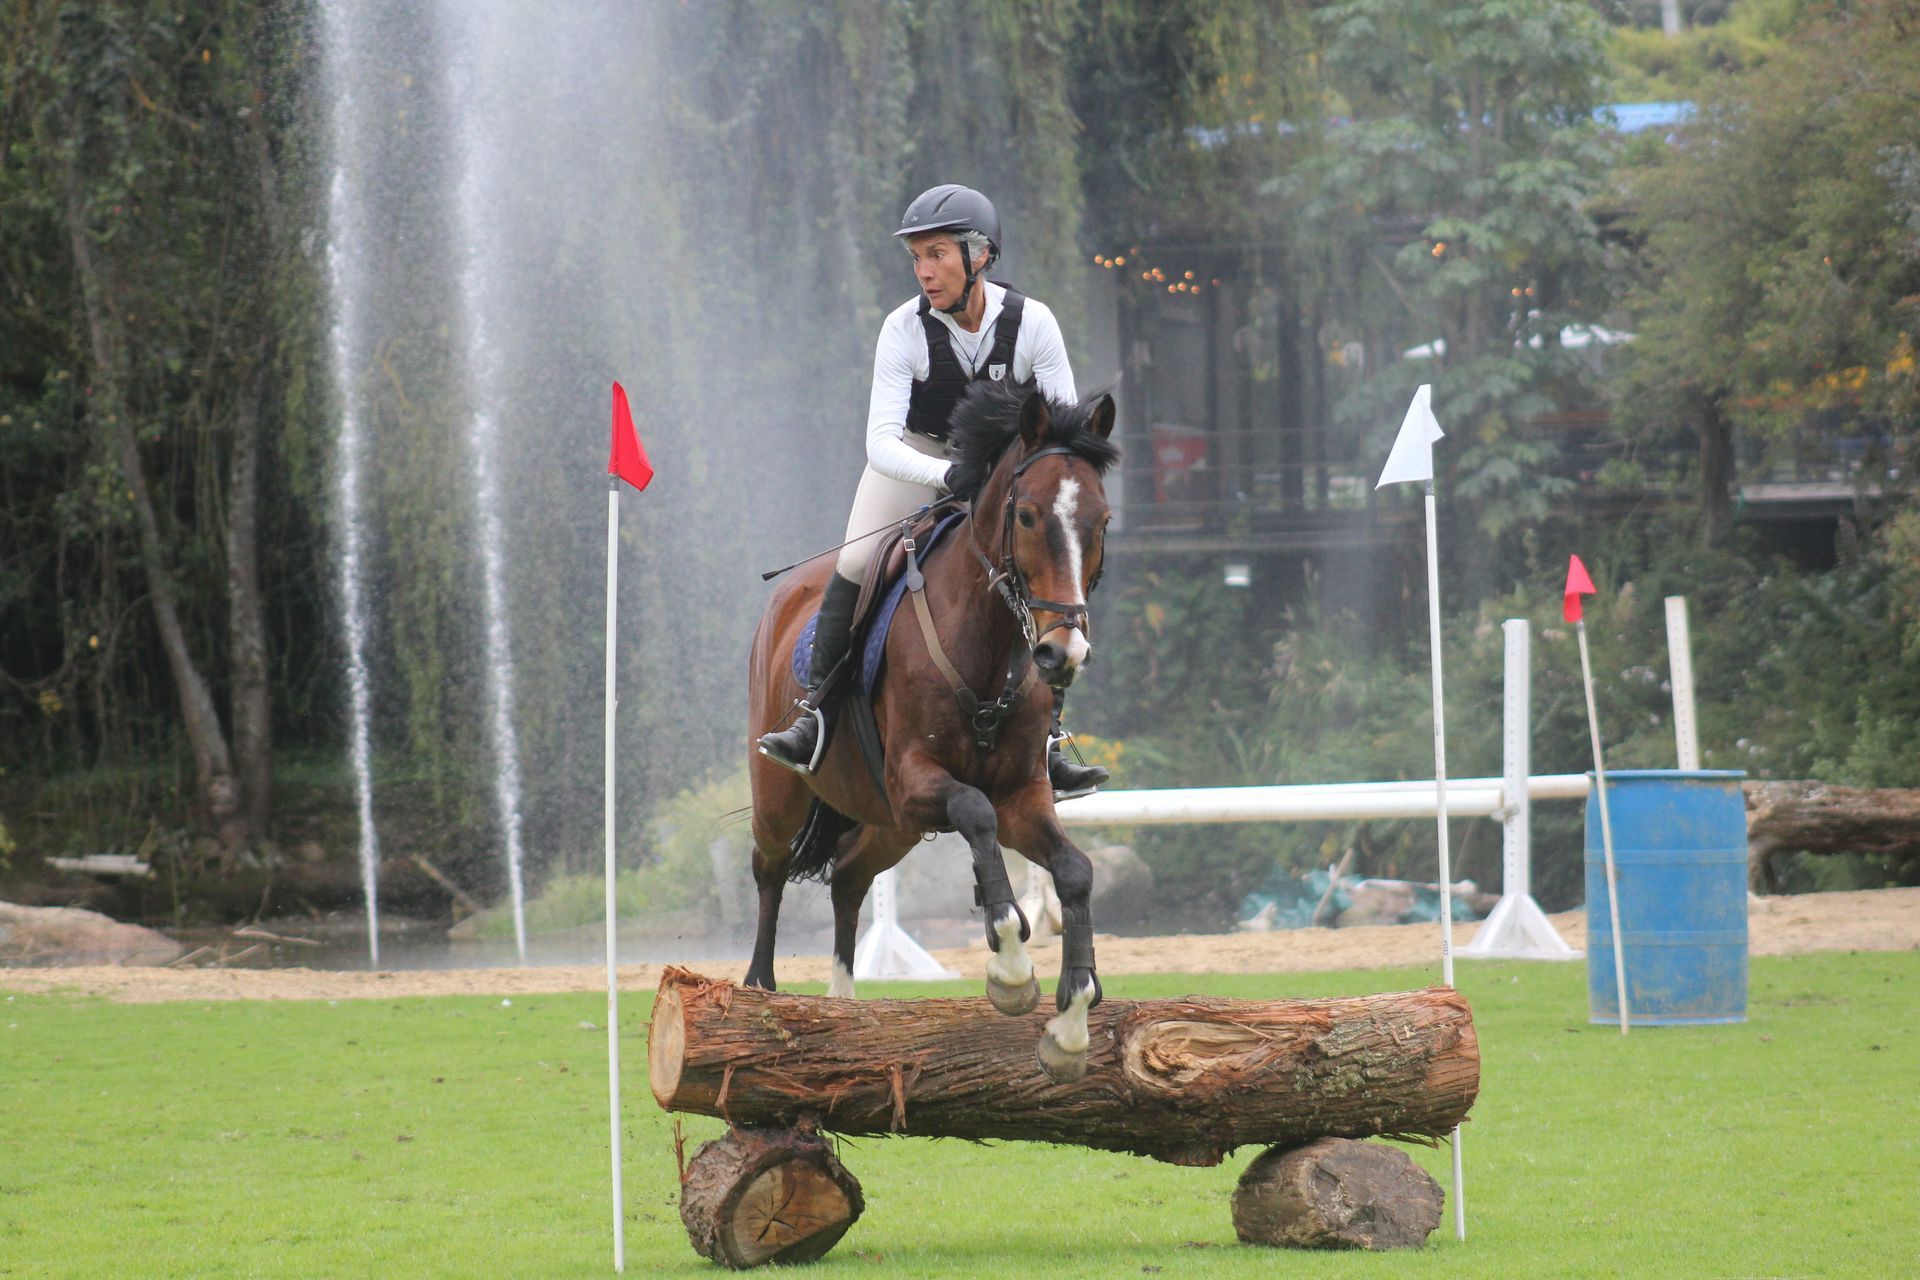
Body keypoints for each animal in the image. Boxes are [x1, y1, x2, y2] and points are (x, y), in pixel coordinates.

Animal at [744, 381, 1118, 1083]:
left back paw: (843, 1003)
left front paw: (1072, 1022)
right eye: (1028, 517)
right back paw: (757, 988)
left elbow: (1075, 870)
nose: (1064, 653)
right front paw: (1011, 968)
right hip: (785, 794)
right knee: (770, 867)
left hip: (892, 823)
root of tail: (784, 602)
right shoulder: (917, 779)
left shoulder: (1021, 797)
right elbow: (974, 813)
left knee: (849, 876)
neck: (989, 641)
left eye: (1102, 521)